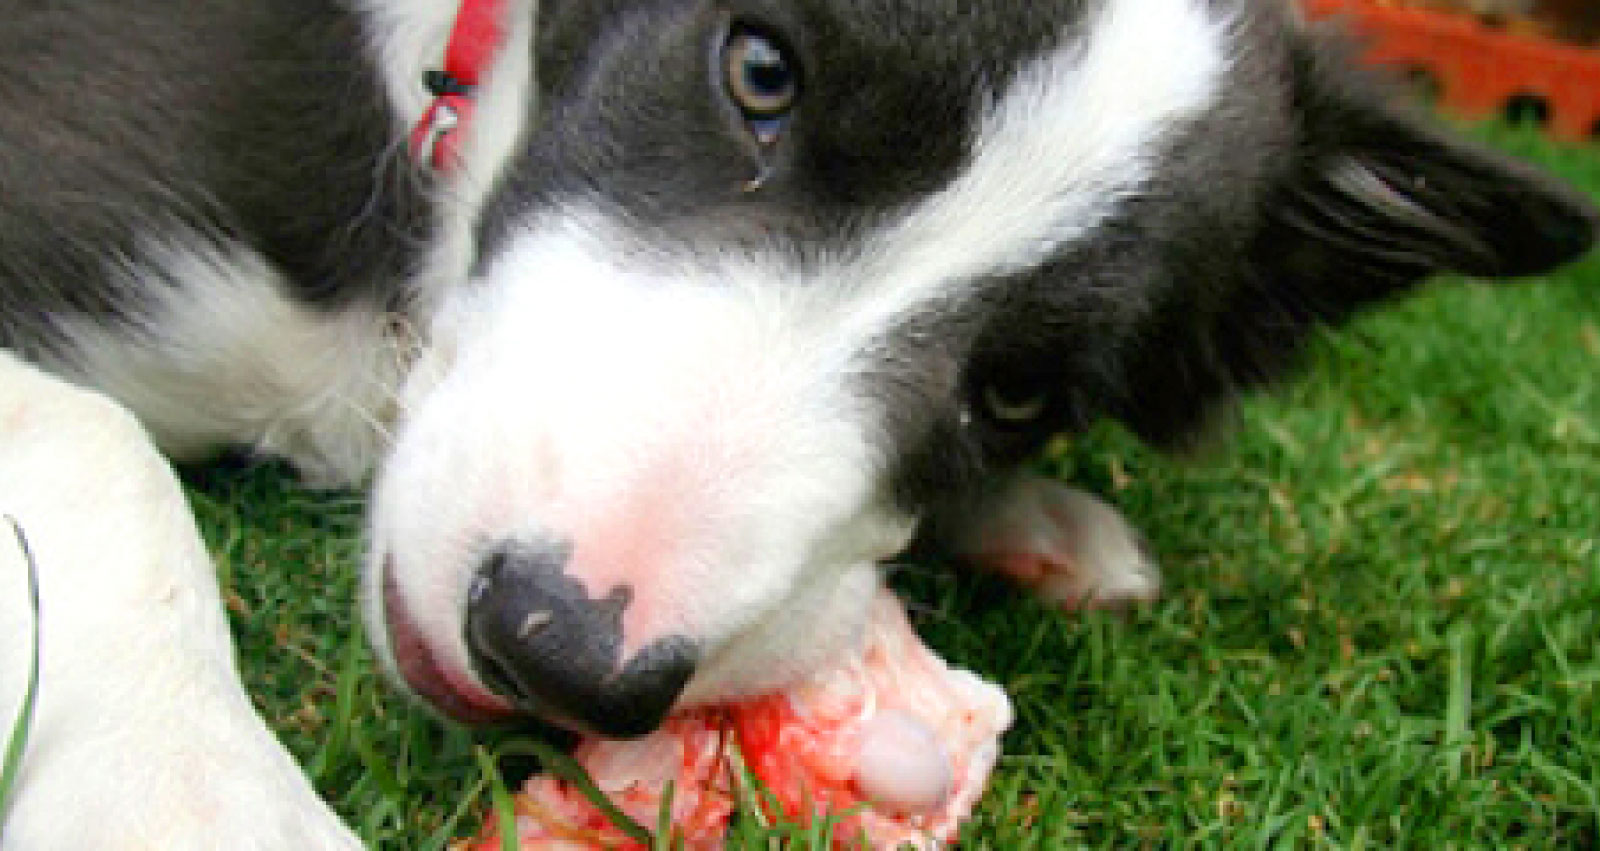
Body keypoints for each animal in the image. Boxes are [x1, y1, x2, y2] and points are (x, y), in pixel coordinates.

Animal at [3, 0, 1600, 844]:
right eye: (757, 69)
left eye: (1017, 392)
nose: (551, 648)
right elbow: (100, 450)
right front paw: (190, 801)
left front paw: (1037, 518)